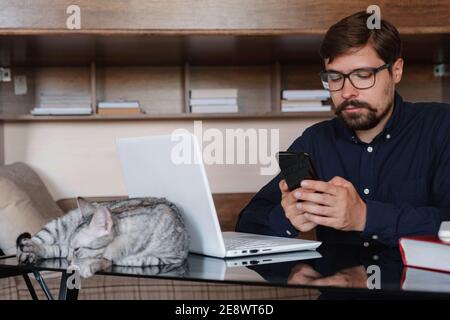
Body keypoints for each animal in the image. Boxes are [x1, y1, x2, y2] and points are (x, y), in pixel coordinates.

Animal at [16, 196, 189, 276]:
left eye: (77, 249)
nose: (69, 260)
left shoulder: (171, 258)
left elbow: (141, 260)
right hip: (58, 226)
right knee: (35, 243)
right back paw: (30, 250)